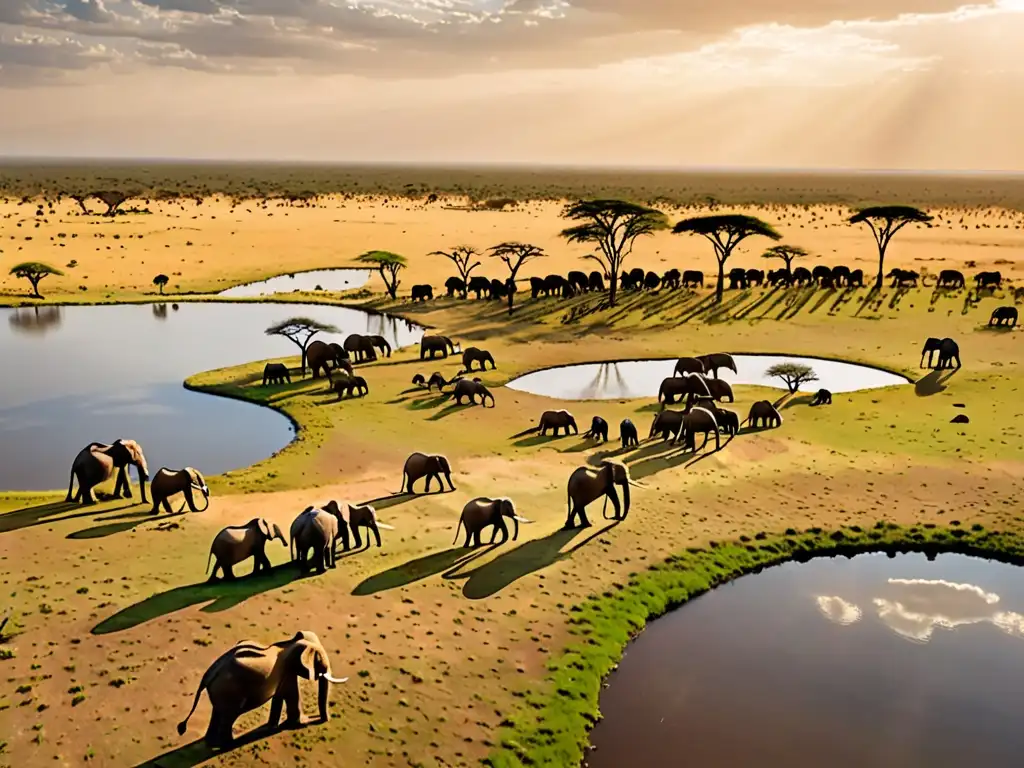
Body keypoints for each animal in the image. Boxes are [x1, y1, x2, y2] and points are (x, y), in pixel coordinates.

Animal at [177, 630, 348, 753]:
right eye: (319, 662)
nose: (321, 719)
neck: (290, 642)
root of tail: (209, 674)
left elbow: (279, 696)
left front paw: (273, 727)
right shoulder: (287, 671)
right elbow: (290, 694)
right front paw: (300, 723)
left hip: (221, 692)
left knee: (218, 713)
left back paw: (212, 743)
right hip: (230, 692)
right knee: (229, 716)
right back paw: (230, 745)